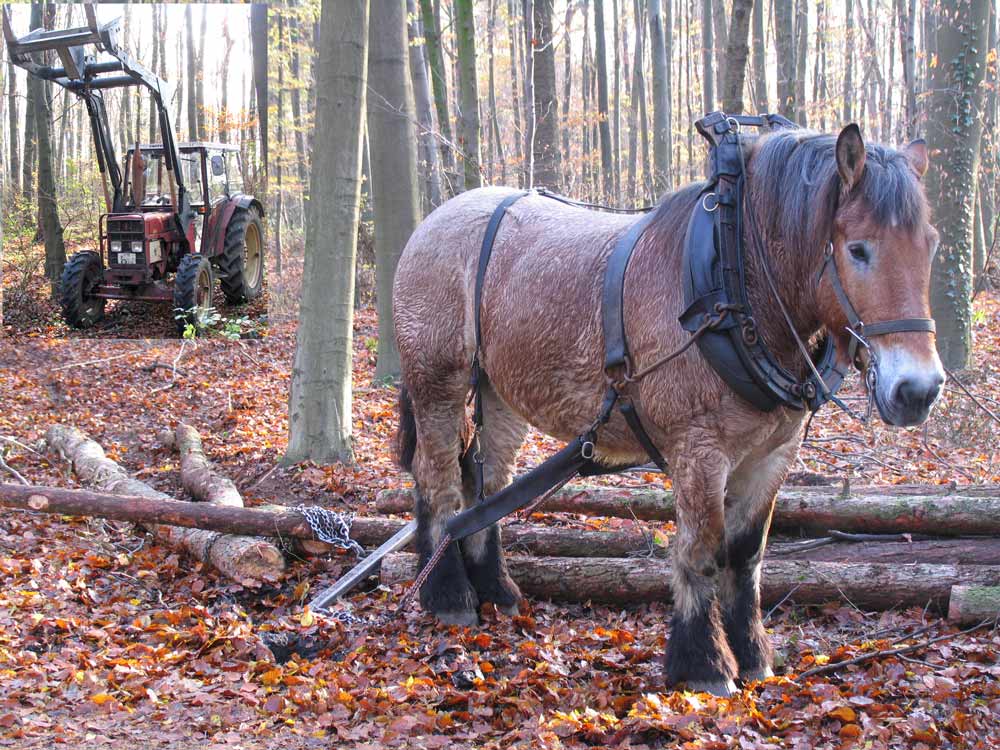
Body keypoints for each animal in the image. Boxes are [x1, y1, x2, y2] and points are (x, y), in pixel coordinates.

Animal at [392, 126, 944, 696]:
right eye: (857, 249)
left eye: (930, 244)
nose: (918, 390)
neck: (731, 284)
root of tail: (436, 218)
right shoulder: (699, 451)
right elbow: (703, 552)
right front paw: (705, 664)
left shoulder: (773, 454)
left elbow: (747, 555)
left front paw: (752, 656)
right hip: (438, 380)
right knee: (438, 479)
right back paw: (448, 594)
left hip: (499, 391)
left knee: (485, 485)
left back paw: (496, 589)